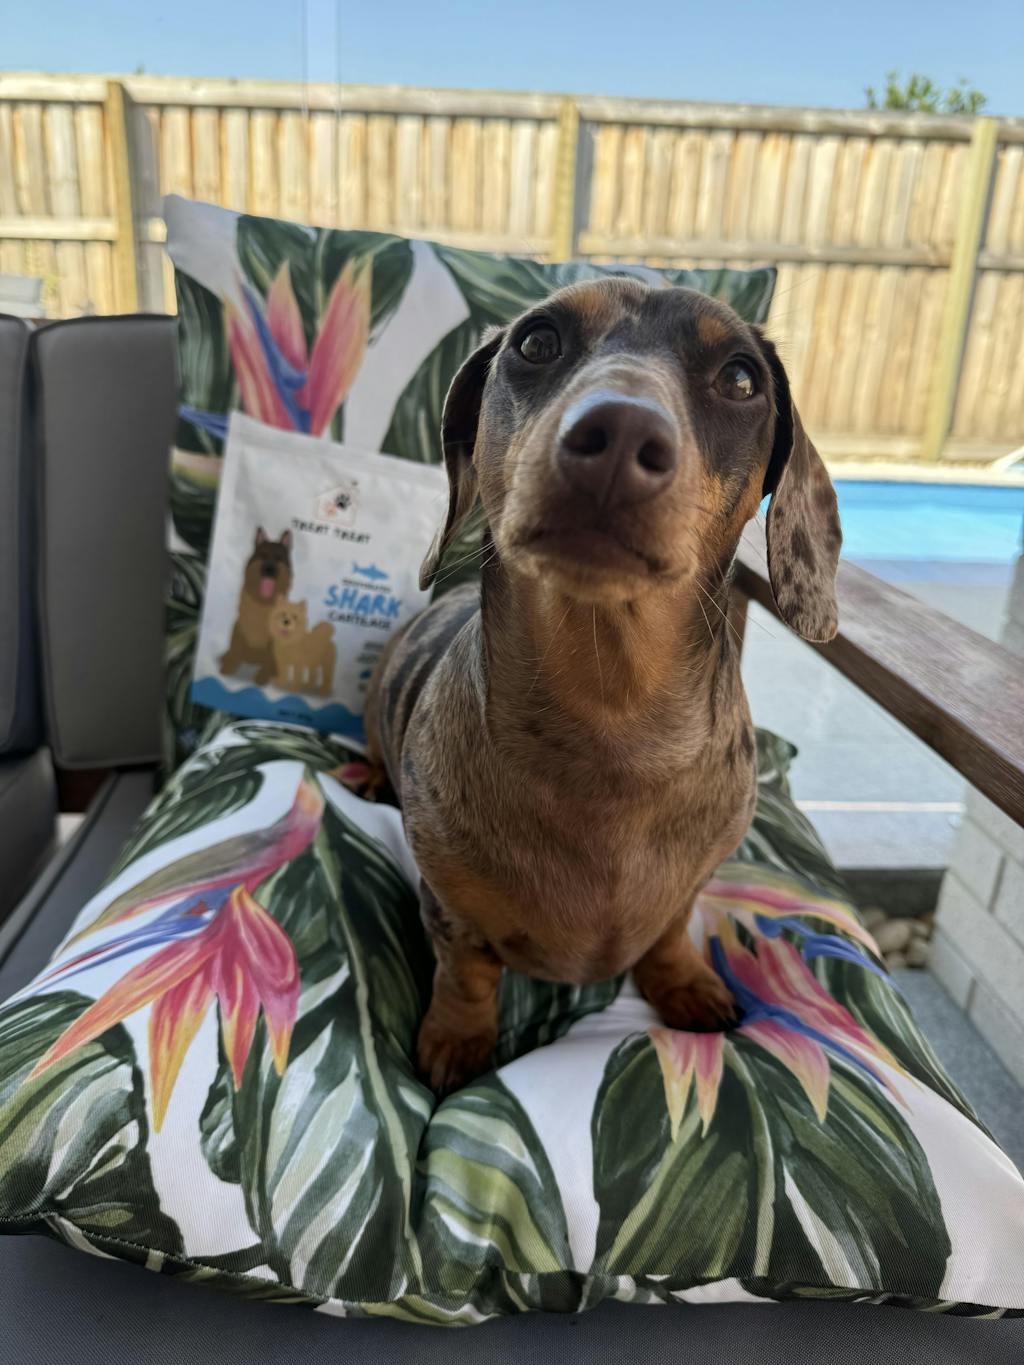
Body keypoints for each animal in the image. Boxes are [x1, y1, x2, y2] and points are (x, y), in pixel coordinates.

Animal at [220, 528, 294, 683]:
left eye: (278, 558)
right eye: (263, 556)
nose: (269, 569)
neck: (263, 603)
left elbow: (270, 659)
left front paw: (263, 676)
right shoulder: (239, 629)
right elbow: (234, 650)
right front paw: (227, 667)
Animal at [364, 278, 842, 1094]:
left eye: (741, 378)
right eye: (536, 341)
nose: (618, 434)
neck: (612, 724)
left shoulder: (691, 887)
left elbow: (671, 931)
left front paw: (683, 981)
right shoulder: (449, 908)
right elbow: (464, 975)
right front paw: (457, 1040)